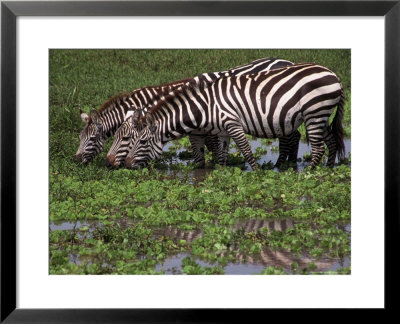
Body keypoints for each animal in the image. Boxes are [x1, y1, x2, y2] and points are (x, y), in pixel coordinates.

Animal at [76, 56, 294, 165]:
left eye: (127, 139)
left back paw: (283, 165)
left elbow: (211, 152)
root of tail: (286, 61)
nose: (76, 160)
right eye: (80, 138)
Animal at [126, 62, 346, 171]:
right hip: (322, 114)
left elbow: (246, 151)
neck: (206, 106)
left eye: (142, 141)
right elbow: (222, 155)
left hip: (314, 112)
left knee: (318, 148)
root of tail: (334, 75)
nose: (127, 164)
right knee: (331, 141)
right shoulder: (223, 131)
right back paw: (328, 169)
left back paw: (309, 173)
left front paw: (256, 173)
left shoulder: (233, 123)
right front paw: (222, 173)